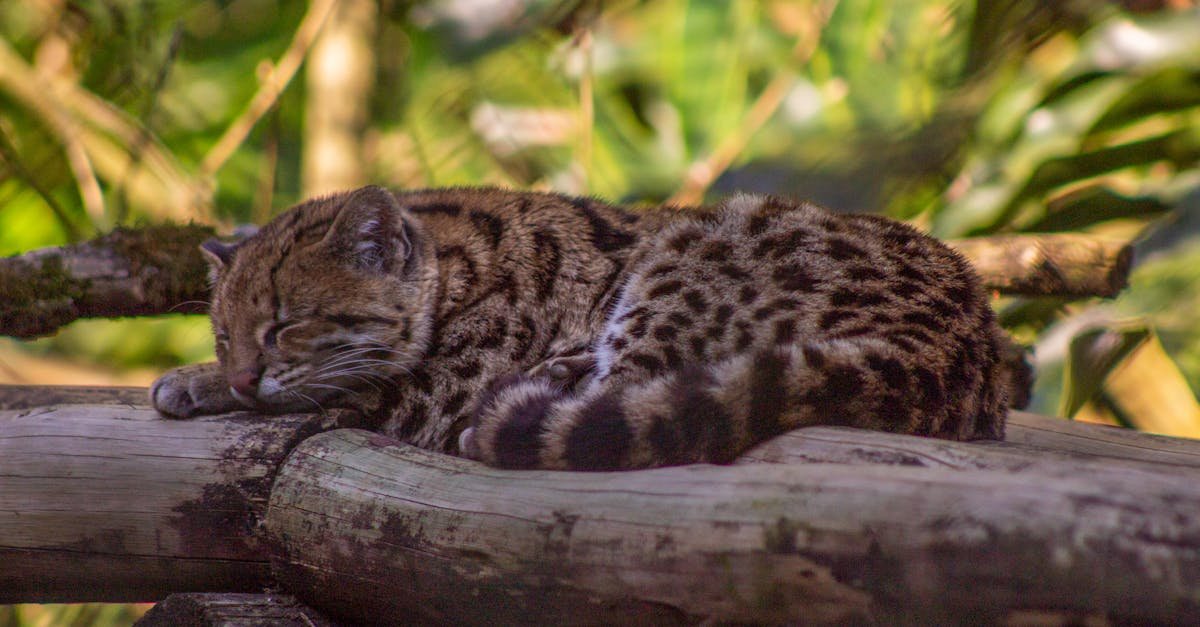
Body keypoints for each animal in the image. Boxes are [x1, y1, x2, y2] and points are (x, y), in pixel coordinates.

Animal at [145, 184, 1017, 468]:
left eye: (285, 325)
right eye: (224, 333)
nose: (240, 370)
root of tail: (955, 342)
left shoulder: (436, 388)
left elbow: (343, 389)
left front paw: (203, 385)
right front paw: (203, 379)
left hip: (695, 249)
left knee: (627, 393)